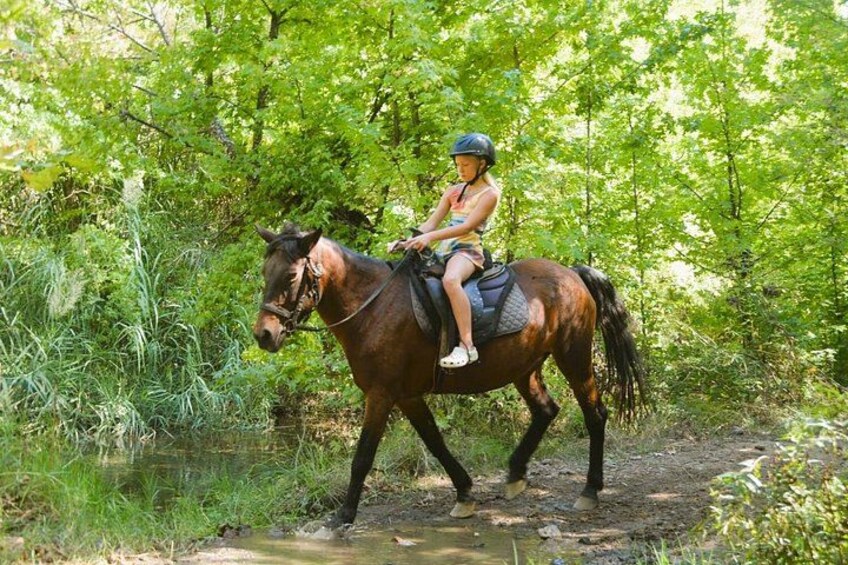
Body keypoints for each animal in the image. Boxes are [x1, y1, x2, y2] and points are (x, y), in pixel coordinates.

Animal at [252, 223, 645, 529]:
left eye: (291, 276)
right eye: (264, 274)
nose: (264, 335)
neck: (372, 306)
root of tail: (572, 274)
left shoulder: (381, 395)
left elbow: (363, 456)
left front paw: (343, 517)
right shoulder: (407, 396)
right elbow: (435, 442)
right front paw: (465, 492)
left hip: (573, 357)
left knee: (595, 414)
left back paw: (590, 490)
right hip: (525, 367)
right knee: (546, 410)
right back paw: (515, 473)